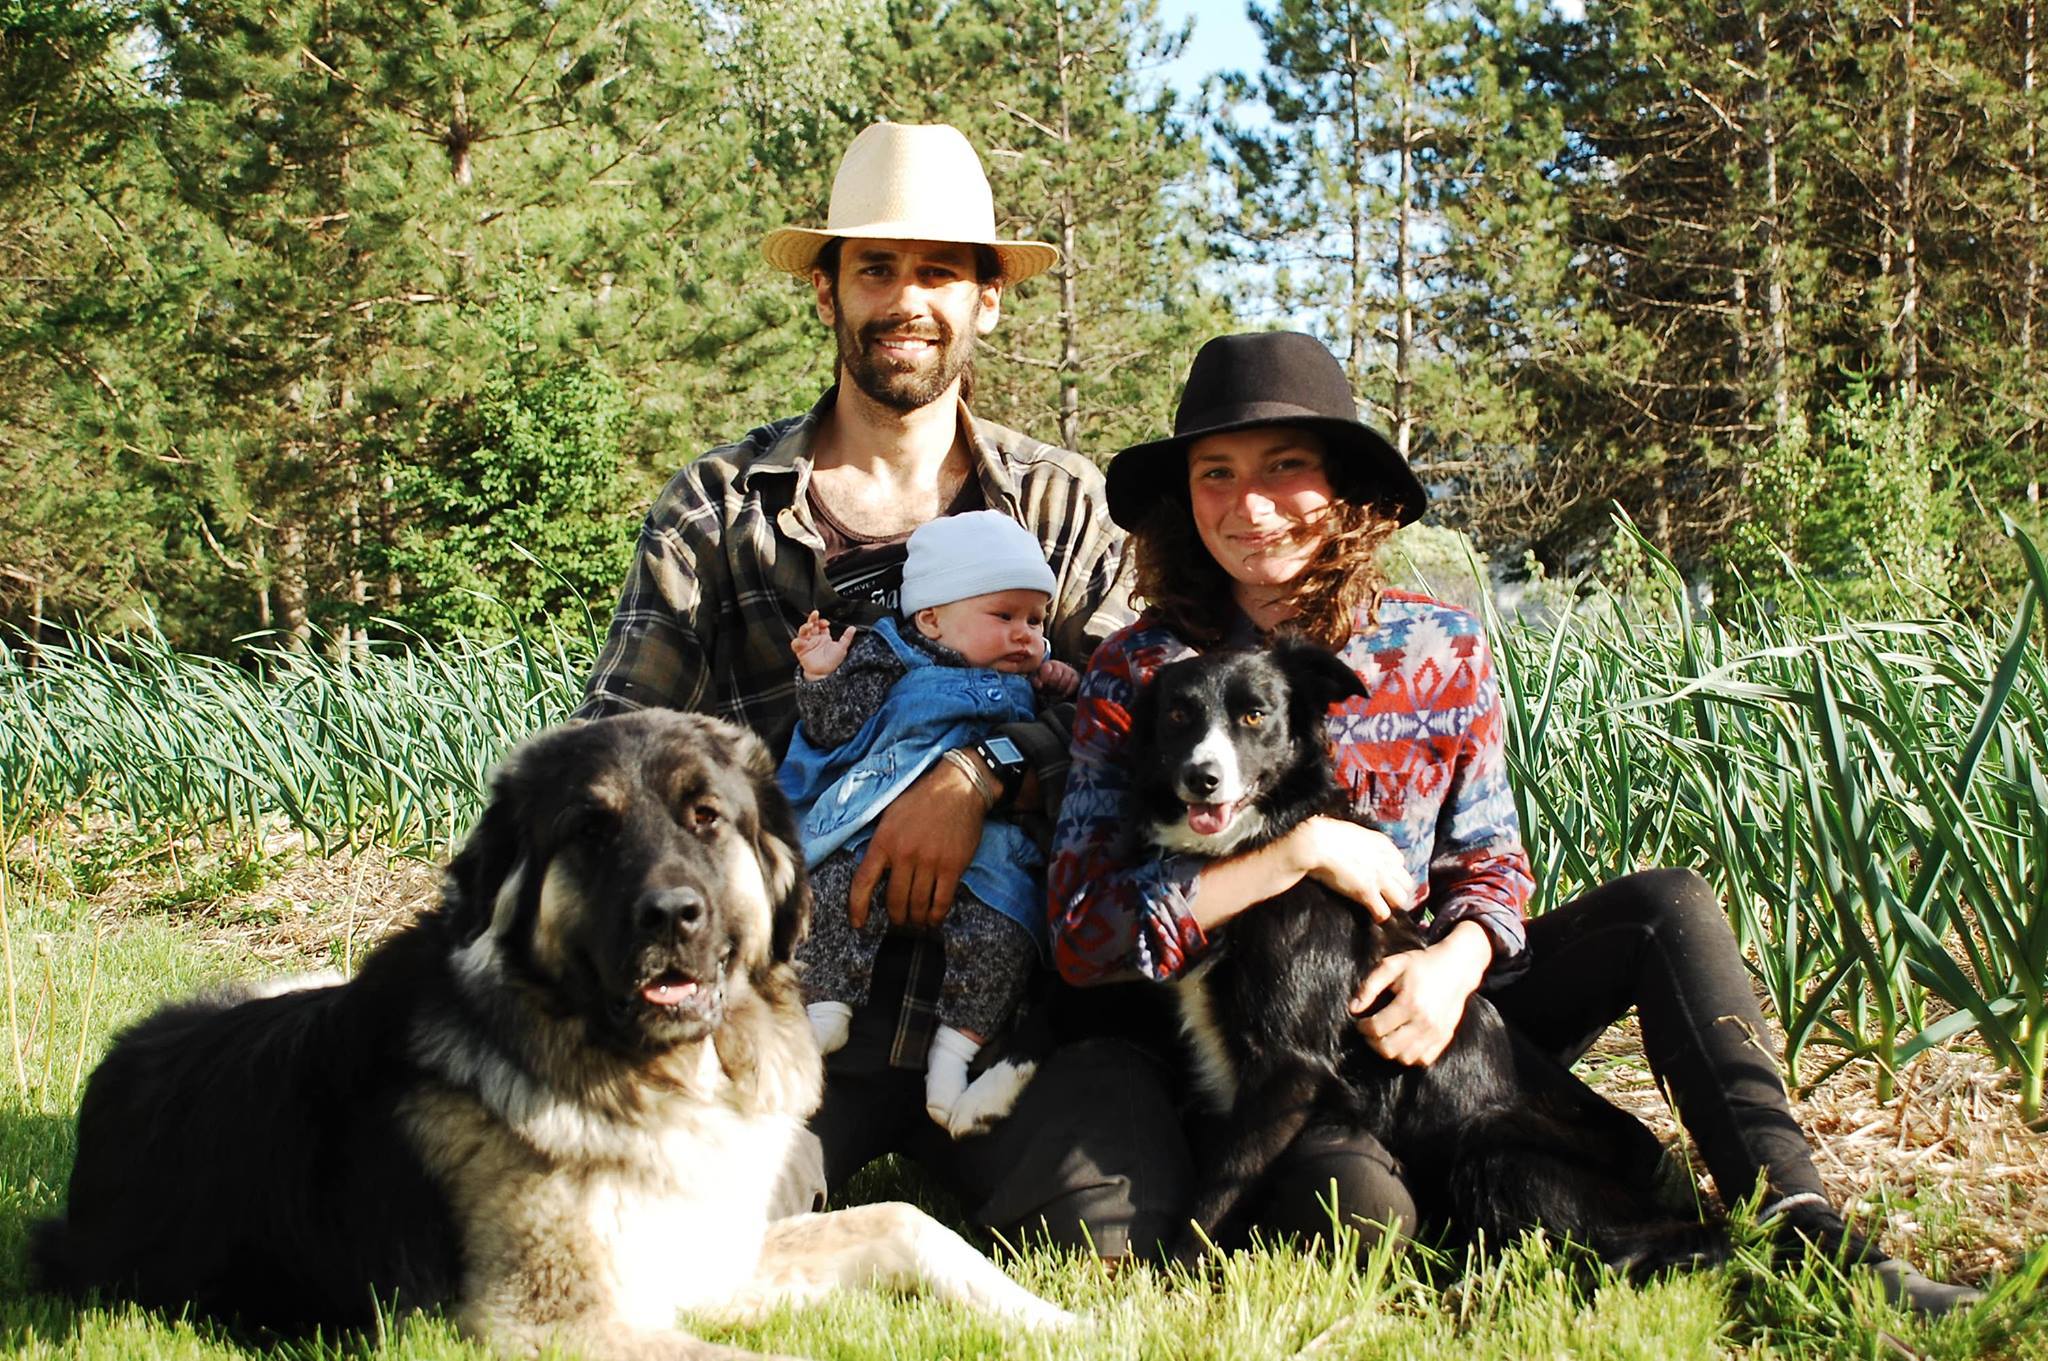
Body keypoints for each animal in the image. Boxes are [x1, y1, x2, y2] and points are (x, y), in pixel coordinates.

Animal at [36, 704, 1073, 1350]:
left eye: (707, 817)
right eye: (589, 830)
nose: (673, 916)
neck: (654, 1076)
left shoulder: (710, 1255)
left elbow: (906, 1220)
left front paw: (1055, 1322)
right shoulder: (549, 1323)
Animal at [1130, 638, 1720, 1277]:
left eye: (1255, 715)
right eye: (1179, 715)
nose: (1202, 778)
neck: (1259, 841)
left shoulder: (1290, 1063)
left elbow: (1221, 1187)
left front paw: (1166, 1276)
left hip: (1493, 1150)